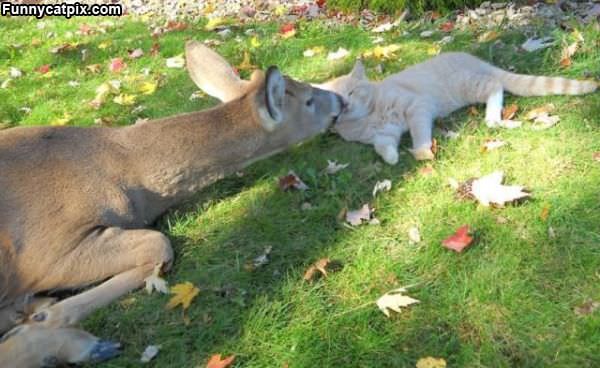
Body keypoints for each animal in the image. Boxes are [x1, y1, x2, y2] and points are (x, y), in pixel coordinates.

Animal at [0, 41, 344, 368]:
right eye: (308, 100)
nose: (341, 100)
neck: (129, 176)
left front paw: (41, 312)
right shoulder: (47, 251)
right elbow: (159, 243)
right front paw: (49, 316)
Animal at [318, 52, 596, 164]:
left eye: (352, 92)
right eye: (337, 98)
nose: (345, 104)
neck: (369, 116)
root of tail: (475, 59)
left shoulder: (417, 107)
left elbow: (419, 132)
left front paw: (422, 151)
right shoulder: (384, 135)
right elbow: (382, 146)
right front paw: (392, 157)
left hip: (467, 85)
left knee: (495, 86)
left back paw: (493, 118)